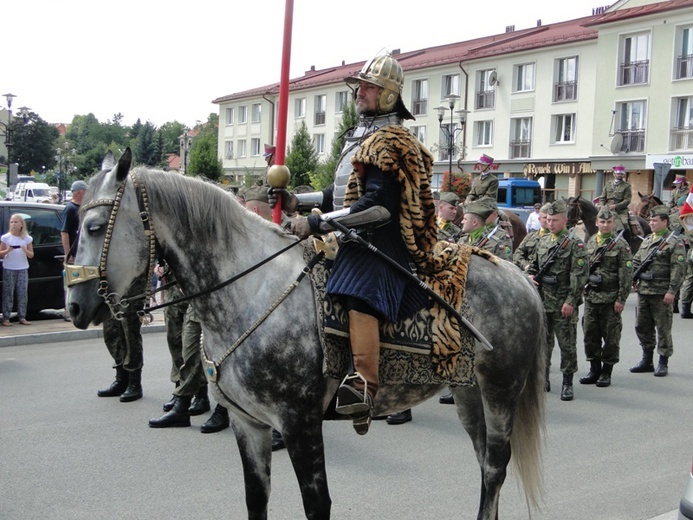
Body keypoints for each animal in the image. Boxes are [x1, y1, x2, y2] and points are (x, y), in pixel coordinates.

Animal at [67, 148, 548, 516]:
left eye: (95, 227)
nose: (74, 305)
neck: (250, 290)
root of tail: (519, 275)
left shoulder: (299, 423)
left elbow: (317, 505)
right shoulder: (248, 423)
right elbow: (256, 499)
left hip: (500, 389)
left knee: (496, 465)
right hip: (468, 392)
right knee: (484, 463)